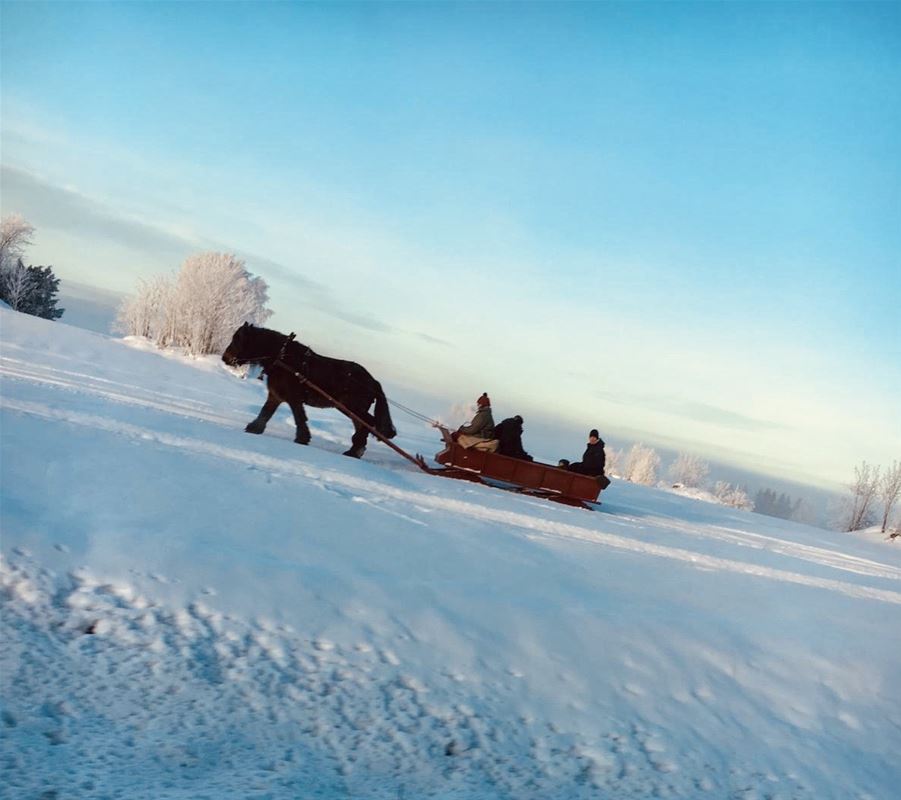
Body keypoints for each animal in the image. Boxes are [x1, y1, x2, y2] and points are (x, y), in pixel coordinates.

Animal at [221, 318, 394, 456]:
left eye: (238, 339)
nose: (224, 358)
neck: (283, 359)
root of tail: (373, 381)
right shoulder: (275, 396)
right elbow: (266, 412)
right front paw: (254, 428)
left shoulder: (294, 398)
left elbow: (299, 417)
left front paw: (302, 439)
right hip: (351, 408)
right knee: (364, 424)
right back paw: (356, 449)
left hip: (352, 407)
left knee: (367, 423)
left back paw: (354, 451)